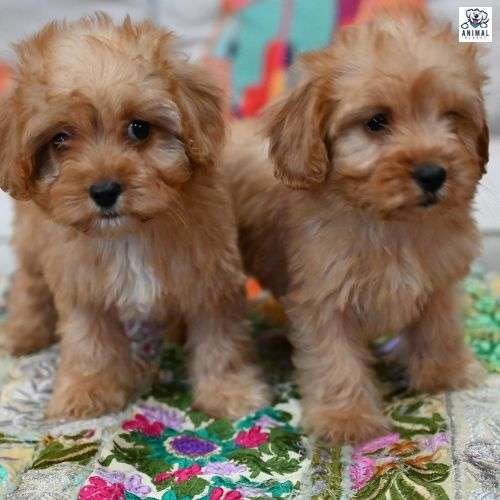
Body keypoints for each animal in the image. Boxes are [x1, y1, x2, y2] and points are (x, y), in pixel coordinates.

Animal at [0, 15, 270, 420]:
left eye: (139, 128)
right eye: (60, 138)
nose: (104, 190)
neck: (129, 234)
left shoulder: (210, 279)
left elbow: (222, 342)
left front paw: (230, 392)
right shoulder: (82, 284)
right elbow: (88, 341)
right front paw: (88, 390)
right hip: (34, 240)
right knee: (28, 283)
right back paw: (21, 332)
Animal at [225, 10, 490, 442]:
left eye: (452, 116)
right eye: (376, 122)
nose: (433, 174)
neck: (390, 222)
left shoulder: (439, 280)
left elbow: (440, 327)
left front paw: (446, 373)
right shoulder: (325, 299)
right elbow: (336, 360)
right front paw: (346, 417)